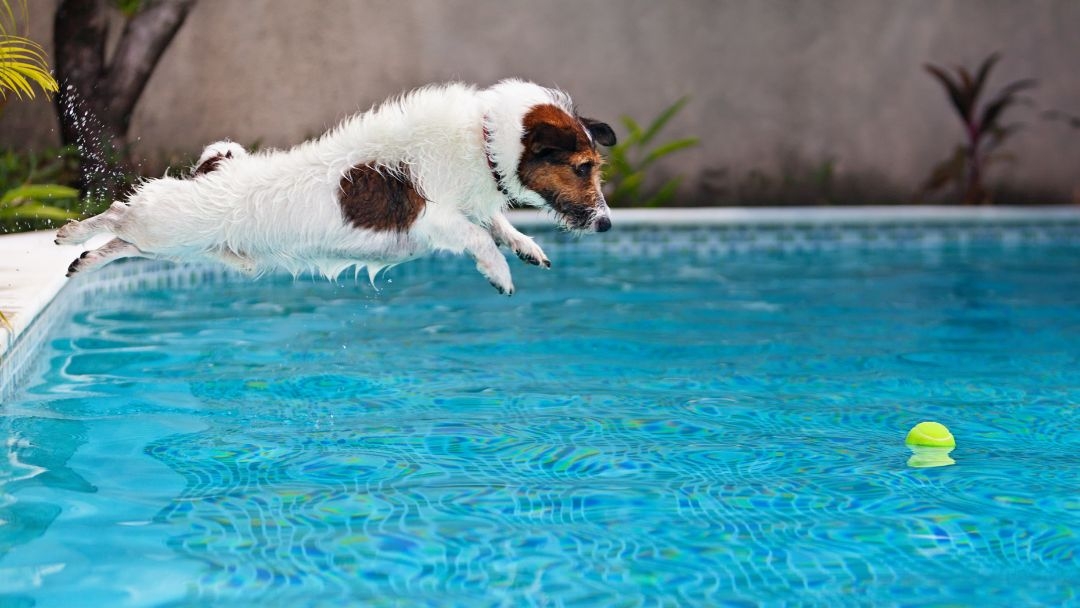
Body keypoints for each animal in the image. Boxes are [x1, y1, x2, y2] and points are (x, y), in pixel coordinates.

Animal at [54, 79, 617, 295]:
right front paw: (499, 271)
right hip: (166, 224)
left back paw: (85, 259)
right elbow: (478, 235)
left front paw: (525, 246)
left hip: (182, 247)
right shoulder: (432, 217)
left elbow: (497, 223)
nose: (608, 224)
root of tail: (212, 170)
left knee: (122, 243)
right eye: (583, 168)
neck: (483, 140)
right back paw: (71, 234)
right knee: (118, 214)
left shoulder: (473, 204)